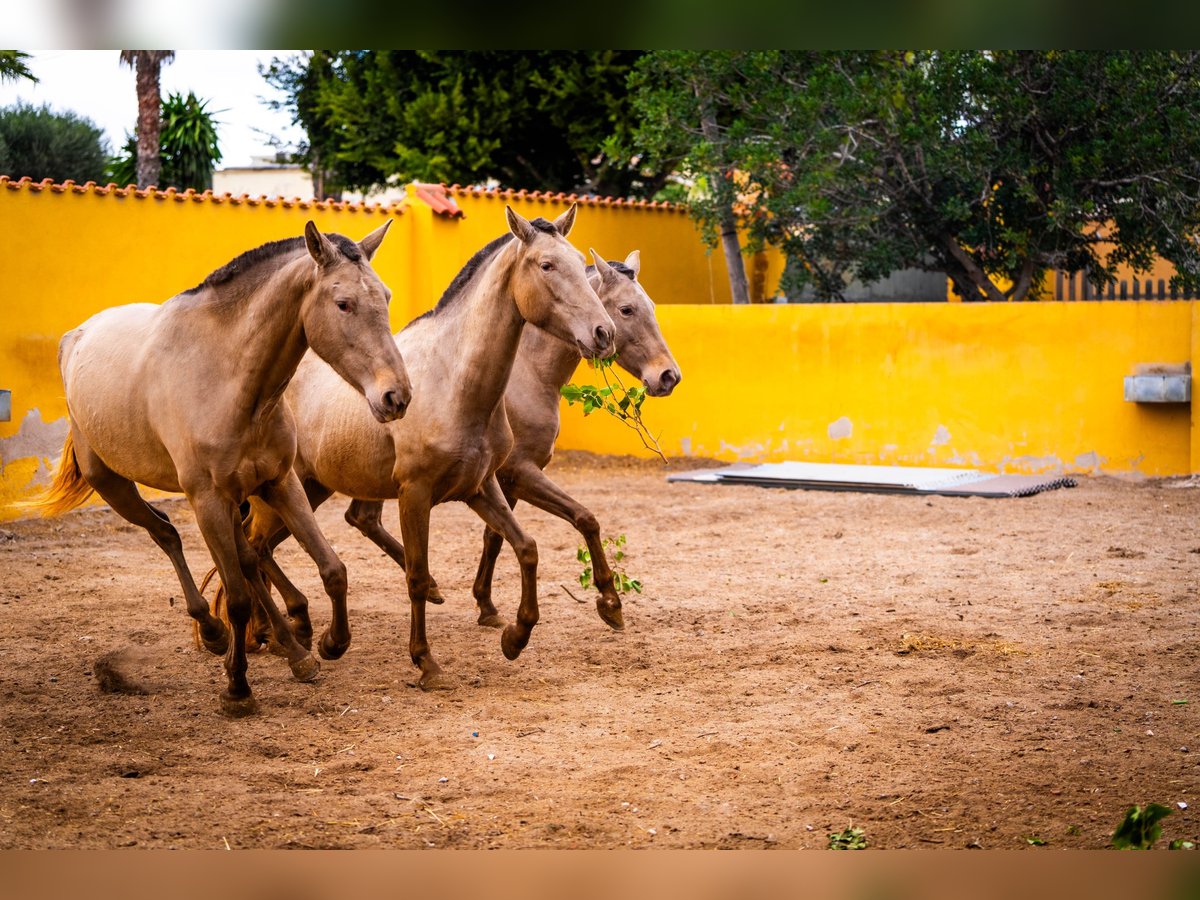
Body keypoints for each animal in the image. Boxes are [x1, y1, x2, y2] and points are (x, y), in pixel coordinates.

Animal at [29, 220, 412, 720]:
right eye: (343, 303)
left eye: (385, 296)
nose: (396, 396)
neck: (228, 377)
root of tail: (76, 336)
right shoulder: (207, 498)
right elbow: (239, 597)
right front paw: (237, 687)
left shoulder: (279, 482)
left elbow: (332, 568)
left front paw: (330, 643)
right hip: (114, 484)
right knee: (168, 534)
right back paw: (213, 631)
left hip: (233, 496)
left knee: (245, 557)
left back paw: (293, 649)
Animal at [236, 204, 619, 691]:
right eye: (547, 265)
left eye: (578, 262)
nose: (603, 333)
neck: (455, 381)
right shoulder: (415, 494)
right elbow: (416, 577)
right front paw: (426, 663)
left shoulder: (481, 487)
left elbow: (527, 547)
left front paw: (516, 636)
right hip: (283, 491)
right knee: (254, 547)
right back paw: (293, 637)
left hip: (309, 490)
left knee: (260, 547)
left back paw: (286, 633)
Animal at [343, 250, 681, 633]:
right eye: (626, 309)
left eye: (651, 306)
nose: (668, 376)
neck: (527, 373)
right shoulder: (520, 473)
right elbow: (584, 518)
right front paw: (610, 602)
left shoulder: (501, 481)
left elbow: (496, 537)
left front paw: (486, 605)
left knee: (361, 517)